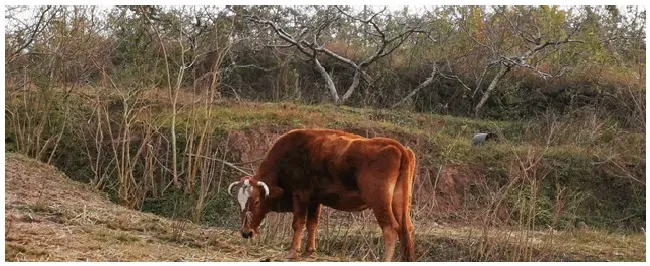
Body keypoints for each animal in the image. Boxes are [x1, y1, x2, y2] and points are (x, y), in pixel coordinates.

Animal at [228, 129, 416, 262]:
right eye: (239, 203)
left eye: (257, 201)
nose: (246, 232)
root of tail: (399, 148)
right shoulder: (314, 200)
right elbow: (312, 224)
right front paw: (309, 251)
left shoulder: (300, 196)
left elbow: (298, 223)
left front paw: (292, 252)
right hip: (399, 203)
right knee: (405, 228)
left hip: (379, 202)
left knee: (390, 228)